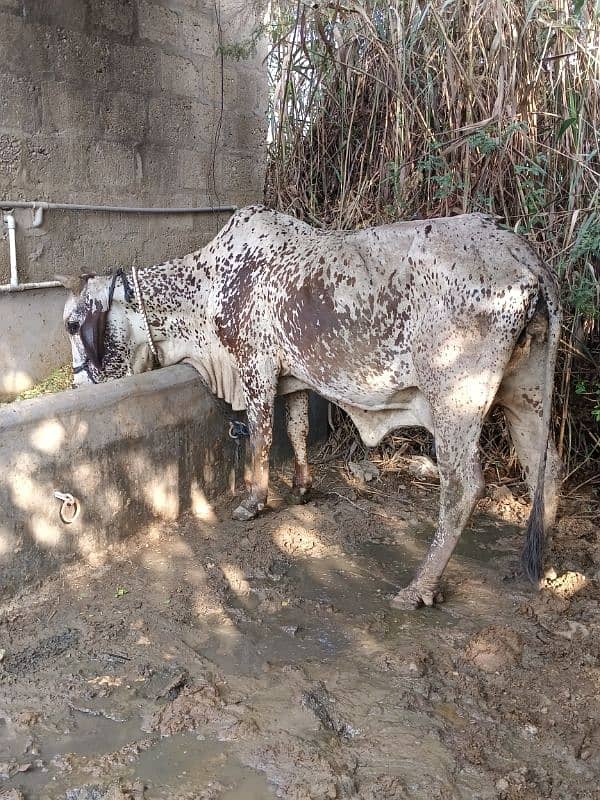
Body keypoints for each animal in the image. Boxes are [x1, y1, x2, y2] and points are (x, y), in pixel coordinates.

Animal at [57, 205, 564, 608]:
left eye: (72, 324)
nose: (76, 382)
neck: (207, 288)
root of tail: (526, 257)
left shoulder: (255, 367)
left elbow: (261, 436)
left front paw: (254, 503)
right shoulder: (294, 377)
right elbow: (297, 428)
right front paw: (302, 487)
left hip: (455, 399)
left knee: (463, 486)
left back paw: (419, 587)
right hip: (526, 393)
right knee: (546, 466)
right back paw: (539, 566)